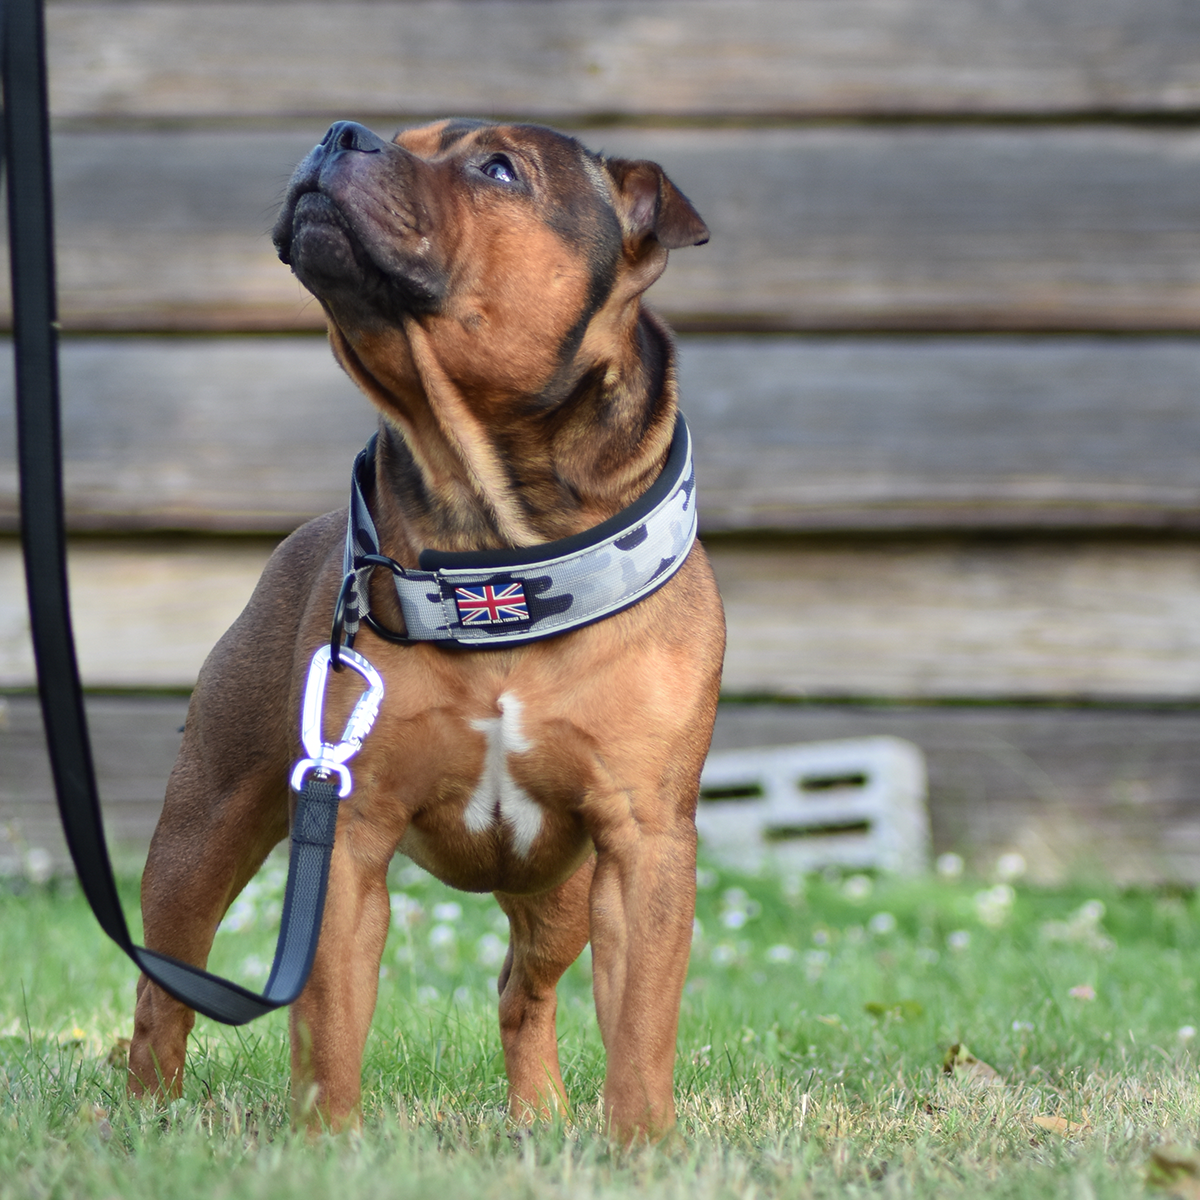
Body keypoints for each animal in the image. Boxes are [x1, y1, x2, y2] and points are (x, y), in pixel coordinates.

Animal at [131, 119, 729, 1142]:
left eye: (498, 169)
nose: (341, 133)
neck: (496, 560)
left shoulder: (643, 843)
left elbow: (642, 1028)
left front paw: (640, 1145)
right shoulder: (349, 837)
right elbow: (330, 1021)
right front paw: (328, 1142)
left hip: (563, 892)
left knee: (523, 989)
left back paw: (540, 1118)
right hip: (202, 832)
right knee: (164, 988)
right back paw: (145, 1116)